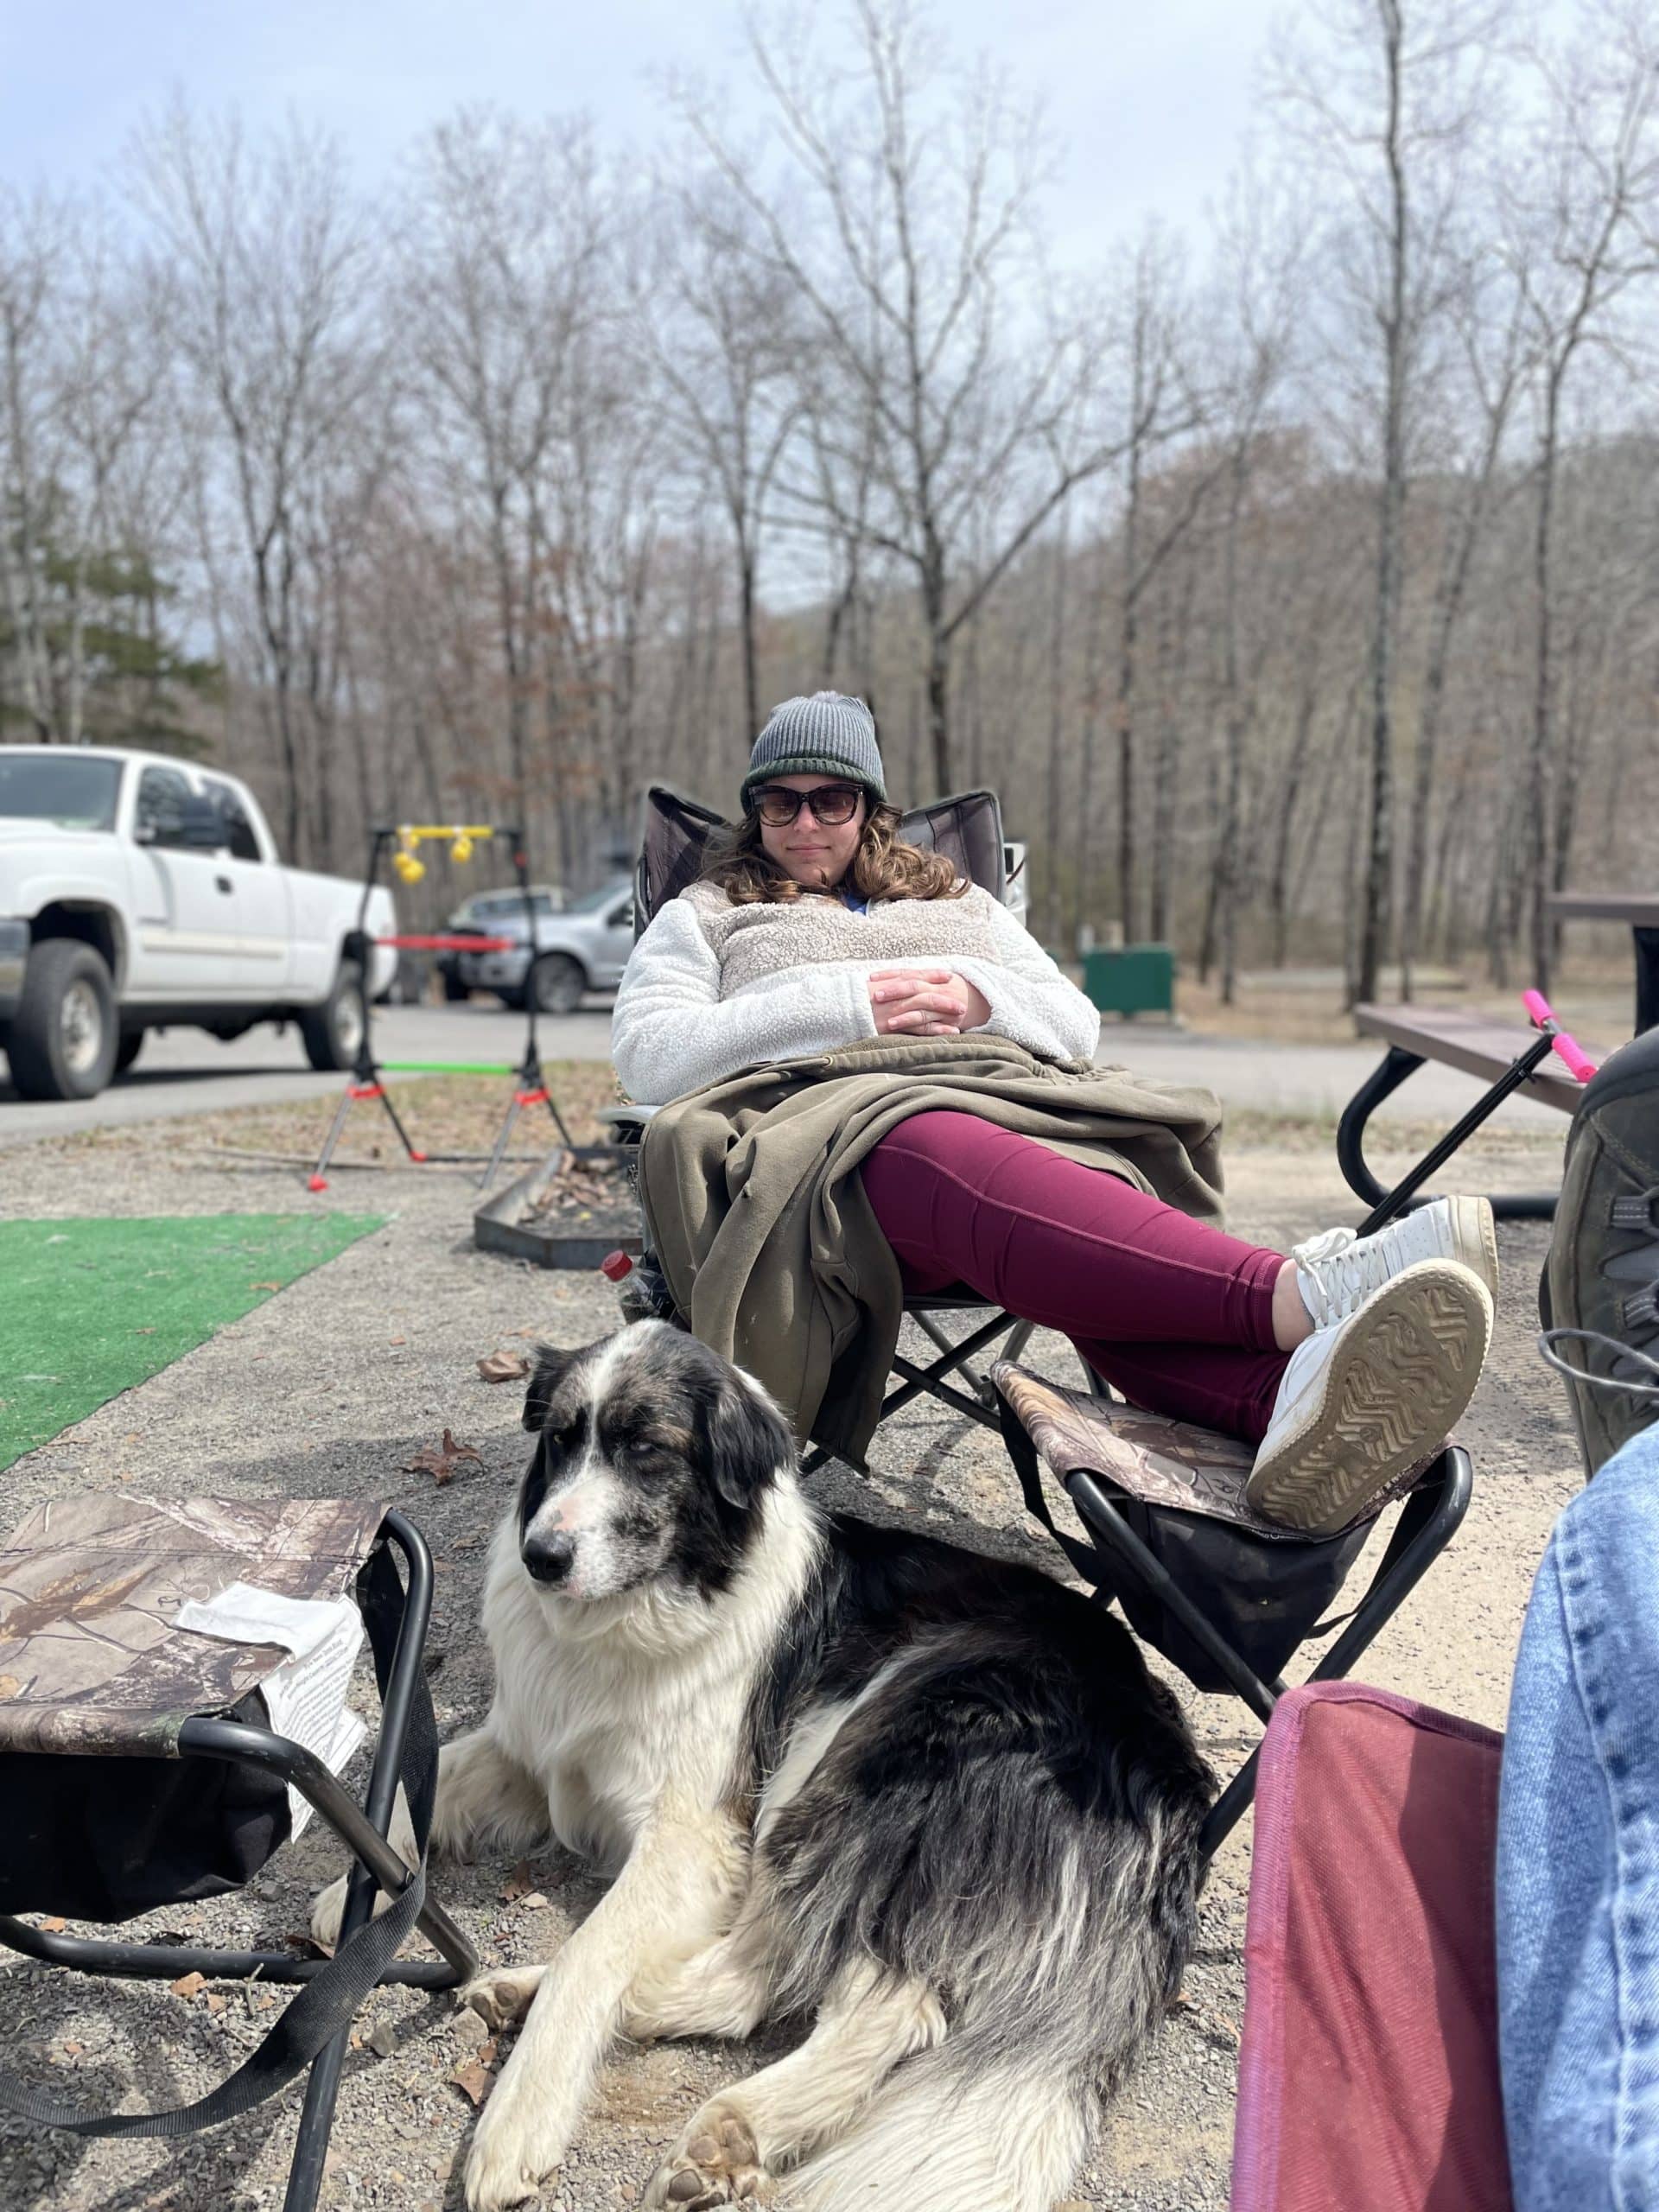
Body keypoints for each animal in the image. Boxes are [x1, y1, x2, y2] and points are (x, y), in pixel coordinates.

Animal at [318, 1318, 1211, 2212]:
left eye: (646, 1449)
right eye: (561, 1439)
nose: (542, 1555)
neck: (649, 1605)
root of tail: (1166, 1773)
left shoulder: (698, 1832)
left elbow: (592, 1953)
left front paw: (518, 2121)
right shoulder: (532, 1749)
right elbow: (428, 1774)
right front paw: (354, 1893)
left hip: (860, 1740)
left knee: (864, 1994)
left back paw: (712, 2102)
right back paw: (537, 1999)